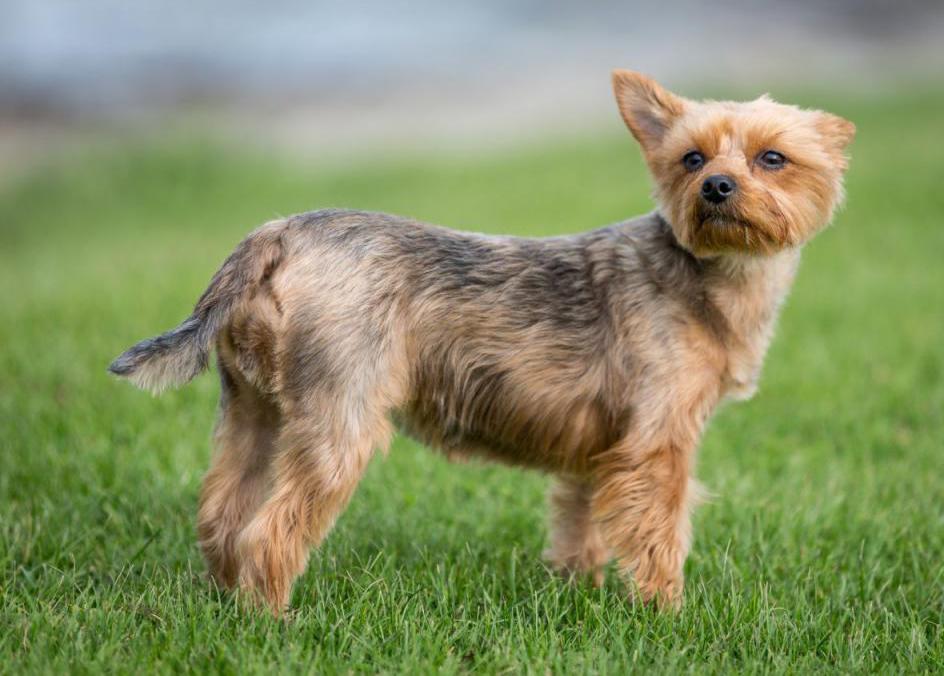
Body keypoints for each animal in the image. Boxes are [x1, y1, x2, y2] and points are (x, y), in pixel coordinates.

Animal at [109, 72, 856, 612]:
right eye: (690, 158)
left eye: (773, 158)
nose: (717, 186)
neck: (708, 275)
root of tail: (277, 234)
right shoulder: (658, 446)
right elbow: (660, 536)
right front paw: (665, 613)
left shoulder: (596, 450)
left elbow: (579, 525)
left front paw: (579, 592)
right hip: (341, 416)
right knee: (269, 529)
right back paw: (274, 617)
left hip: (255, 409)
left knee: (223, 510)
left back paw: (227, 600)